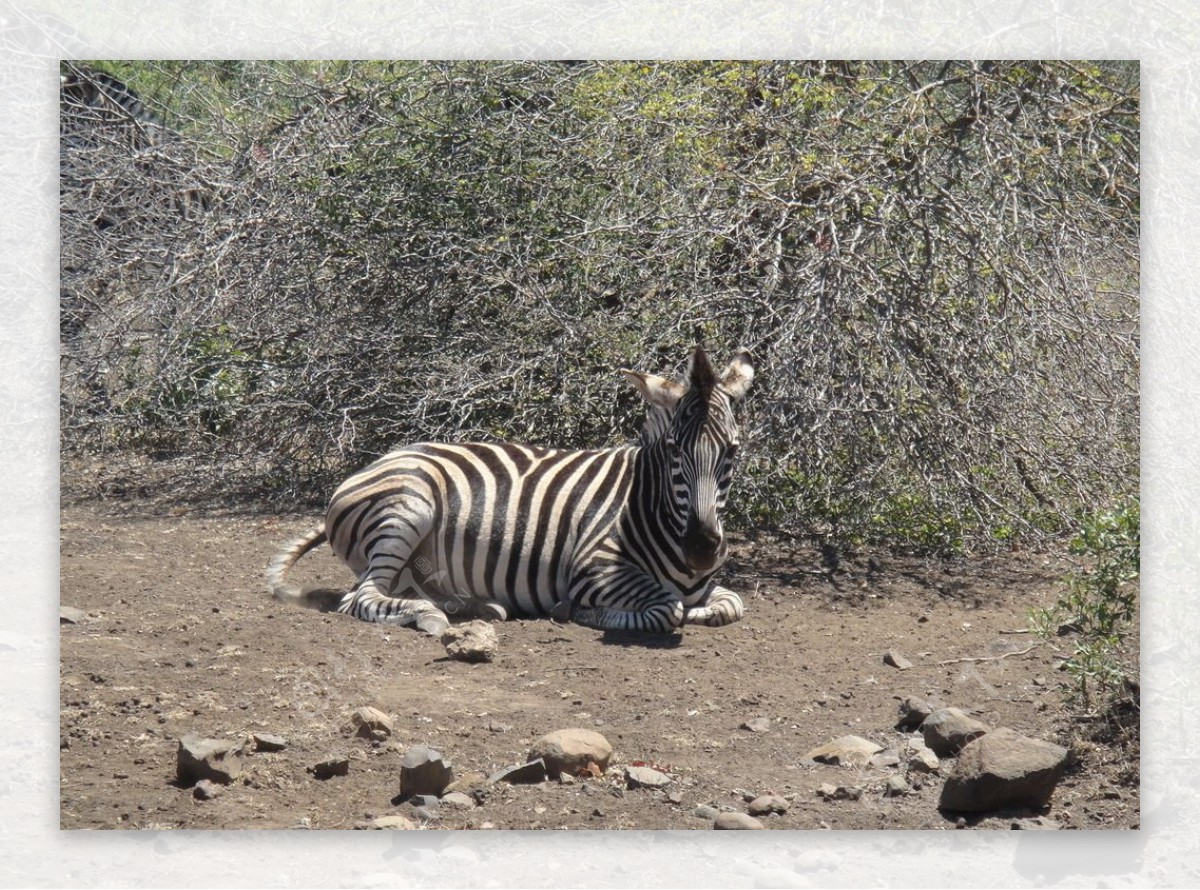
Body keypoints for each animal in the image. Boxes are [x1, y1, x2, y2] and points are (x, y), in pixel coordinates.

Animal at [270, 345, 748, 638]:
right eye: (674, 450)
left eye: (733, 450)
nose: (701, 549)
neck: (649, 505)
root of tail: (376, 463)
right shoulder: (591, 568)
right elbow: (664, 609)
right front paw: (578, 611)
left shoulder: (706, 586)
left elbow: (730, 604)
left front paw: (700, 610)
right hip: (408, 508)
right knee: (361, 597)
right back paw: (430, 616)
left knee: (394, 589)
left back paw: (475, 606)